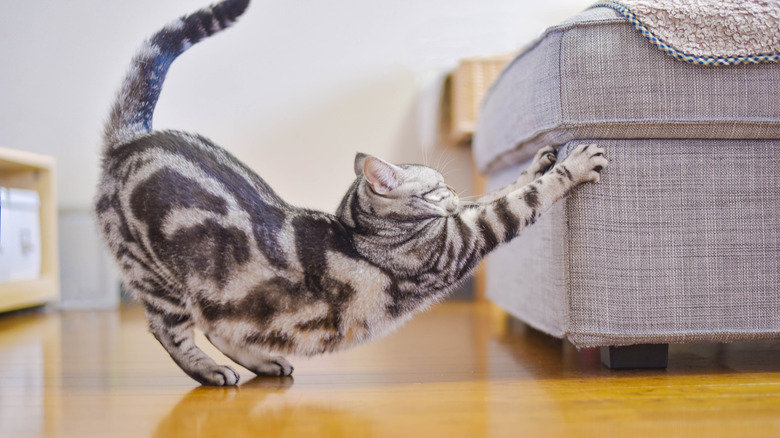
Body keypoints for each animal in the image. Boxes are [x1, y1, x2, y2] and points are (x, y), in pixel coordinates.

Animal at [94, 0, 608, 384]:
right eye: (436, 187)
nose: (450, 192)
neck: (362, 230)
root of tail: (131, 141)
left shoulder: (458, 223)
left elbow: (501, 189)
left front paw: (539, 161)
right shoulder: (462, 238)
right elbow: (518, 201)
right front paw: (573, 165)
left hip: (229, 297)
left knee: (224, 326)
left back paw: (262, 361)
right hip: (159, 280)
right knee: (170, 331)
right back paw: (209, 371)